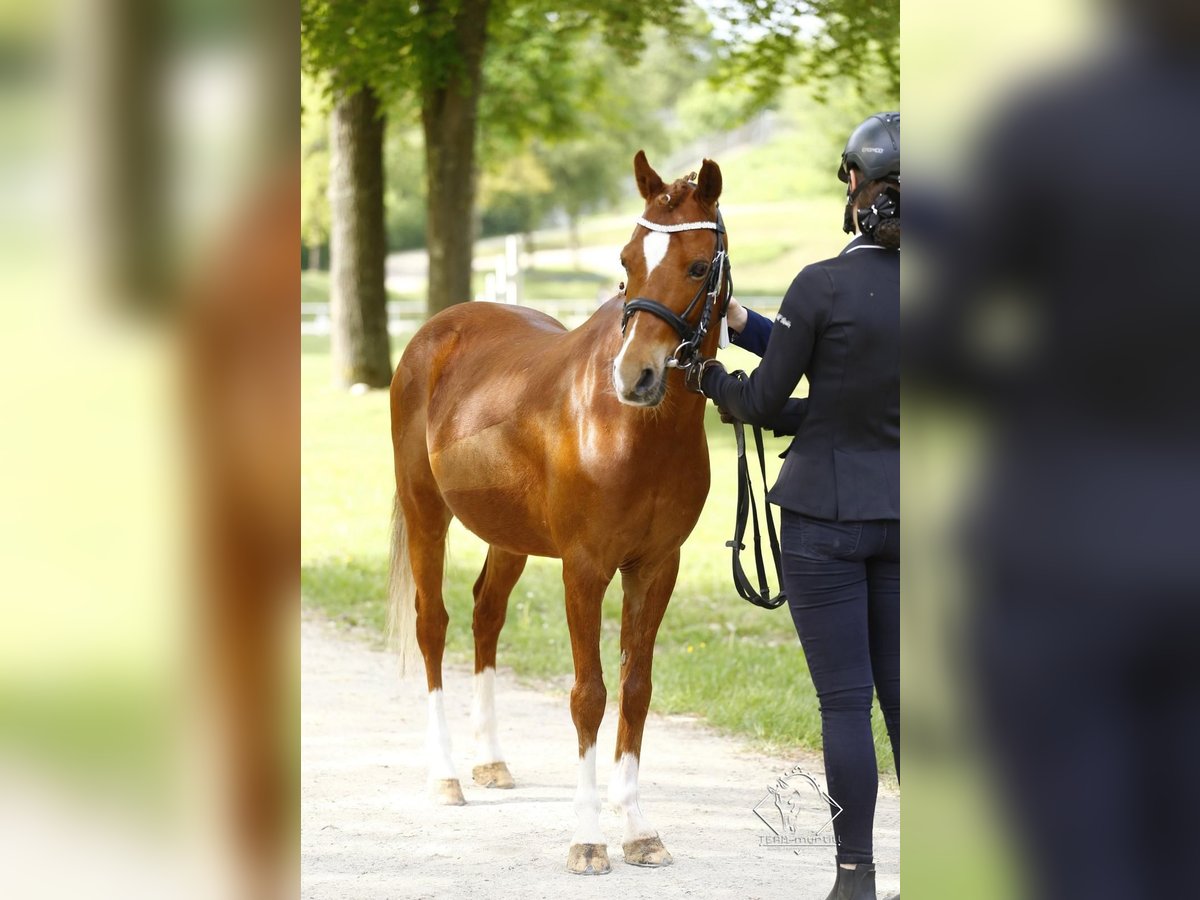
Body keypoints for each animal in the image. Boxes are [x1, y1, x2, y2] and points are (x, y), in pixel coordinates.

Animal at [388, 151, 724, 878]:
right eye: (626, 261)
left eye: (696, 266)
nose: (636, 377)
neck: (634, 431)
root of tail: (434, 332)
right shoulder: (585, 569)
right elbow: (588, 695)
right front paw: (588, 838)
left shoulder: (655, 567)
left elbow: (634, 689)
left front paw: (639, 832)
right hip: (427, 512)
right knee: (435, 625)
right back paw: (446, 775)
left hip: (508, 537)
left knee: (485, 615)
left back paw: (490, 762)